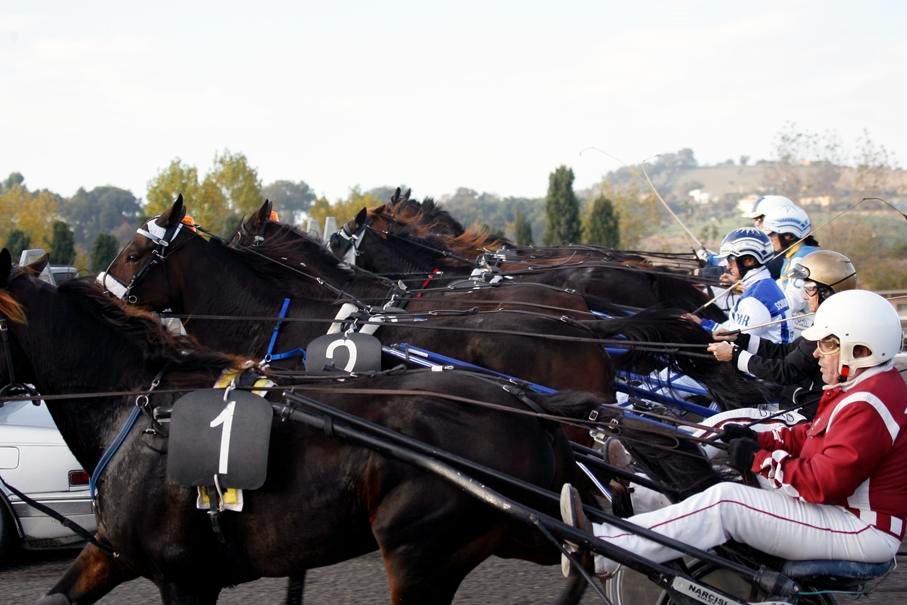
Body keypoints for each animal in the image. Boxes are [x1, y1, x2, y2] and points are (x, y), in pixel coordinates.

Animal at [1, 247, 612, 604]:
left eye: (135, 252)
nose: (110, 281)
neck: (140, 404)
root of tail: (526, 406)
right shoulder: (112, 551)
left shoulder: (184, 575)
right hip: (507, 528)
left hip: (417, 552)